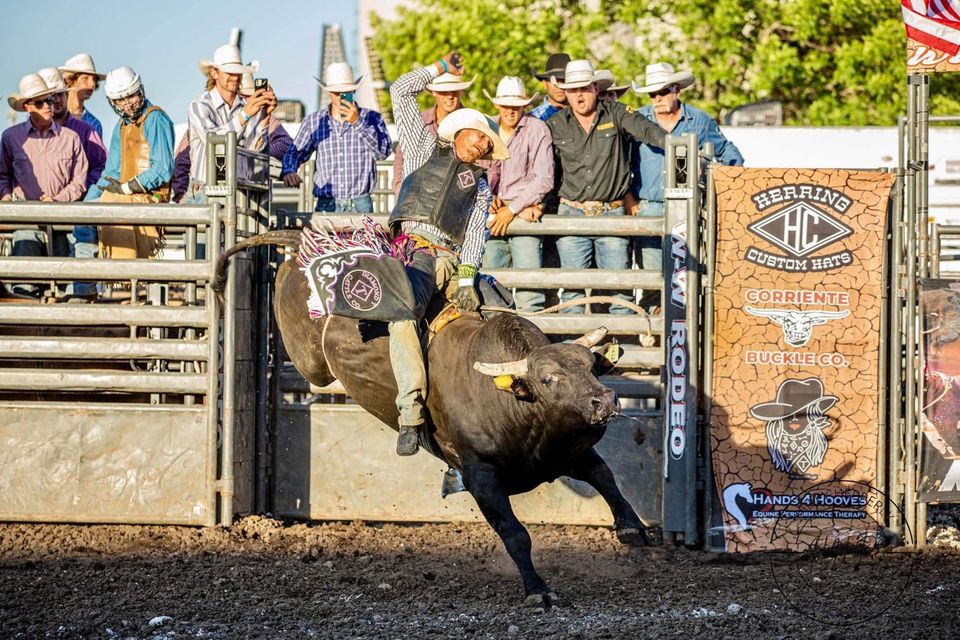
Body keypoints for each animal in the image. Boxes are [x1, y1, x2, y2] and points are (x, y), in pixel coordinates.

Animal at [217, 231, 652, 604]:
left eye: (591, 368)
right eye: (548, 378)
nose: (604, 400)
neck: (510, 402)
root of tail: (311, 244)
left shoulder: (565, 453)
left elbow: (604, 476)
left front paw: (633, 528)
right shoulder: (480, 477)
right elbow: (516, 534)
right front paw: (537, 590)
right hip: (309, 358)